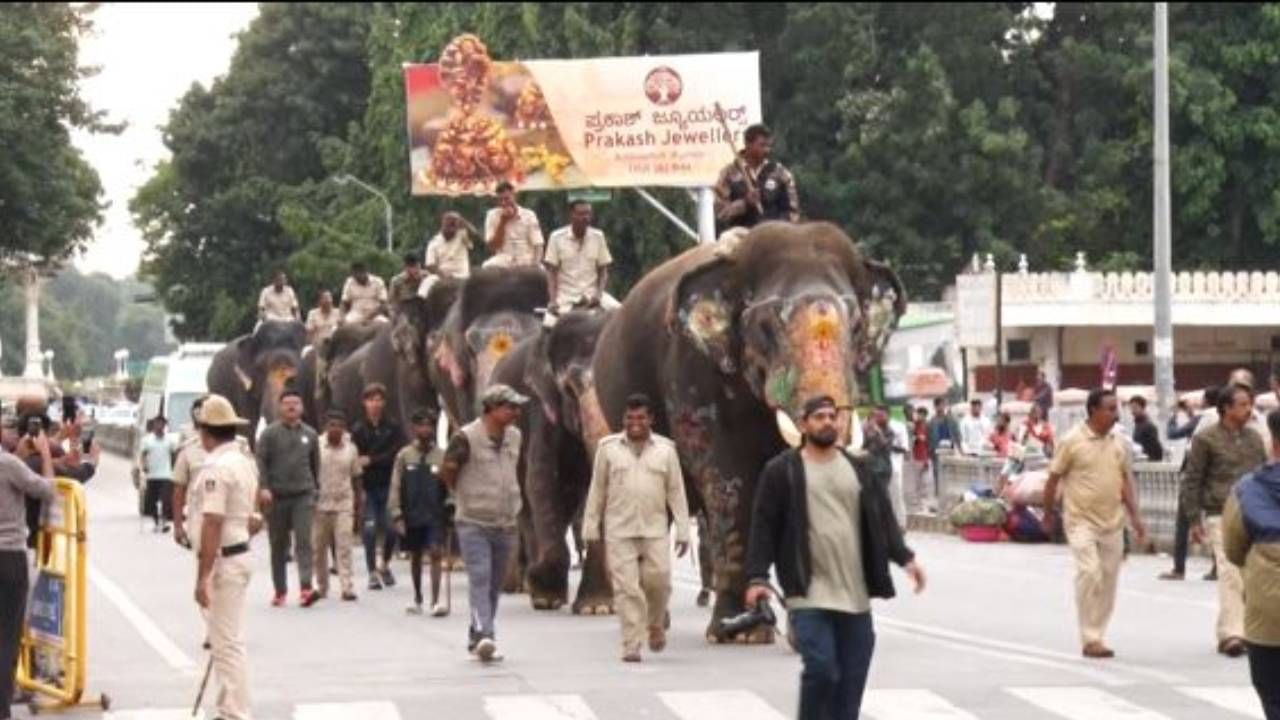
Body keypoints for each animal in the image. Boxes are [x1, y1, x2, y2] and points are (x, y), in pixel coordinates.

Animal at [486, 308, 616, 609]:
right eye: (569, 388)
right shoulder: (540, 408)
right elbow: (543, 481)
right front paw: (547, 596)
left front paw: (597, 607)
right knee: (525, 503)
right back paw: (533, 586)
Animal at [576, 221, 906, 640]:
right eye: (766, 328)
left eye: (859, 326)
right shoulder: (691, 373)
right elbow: (728, 479)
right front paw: (740, 633)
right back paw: (652, 622)